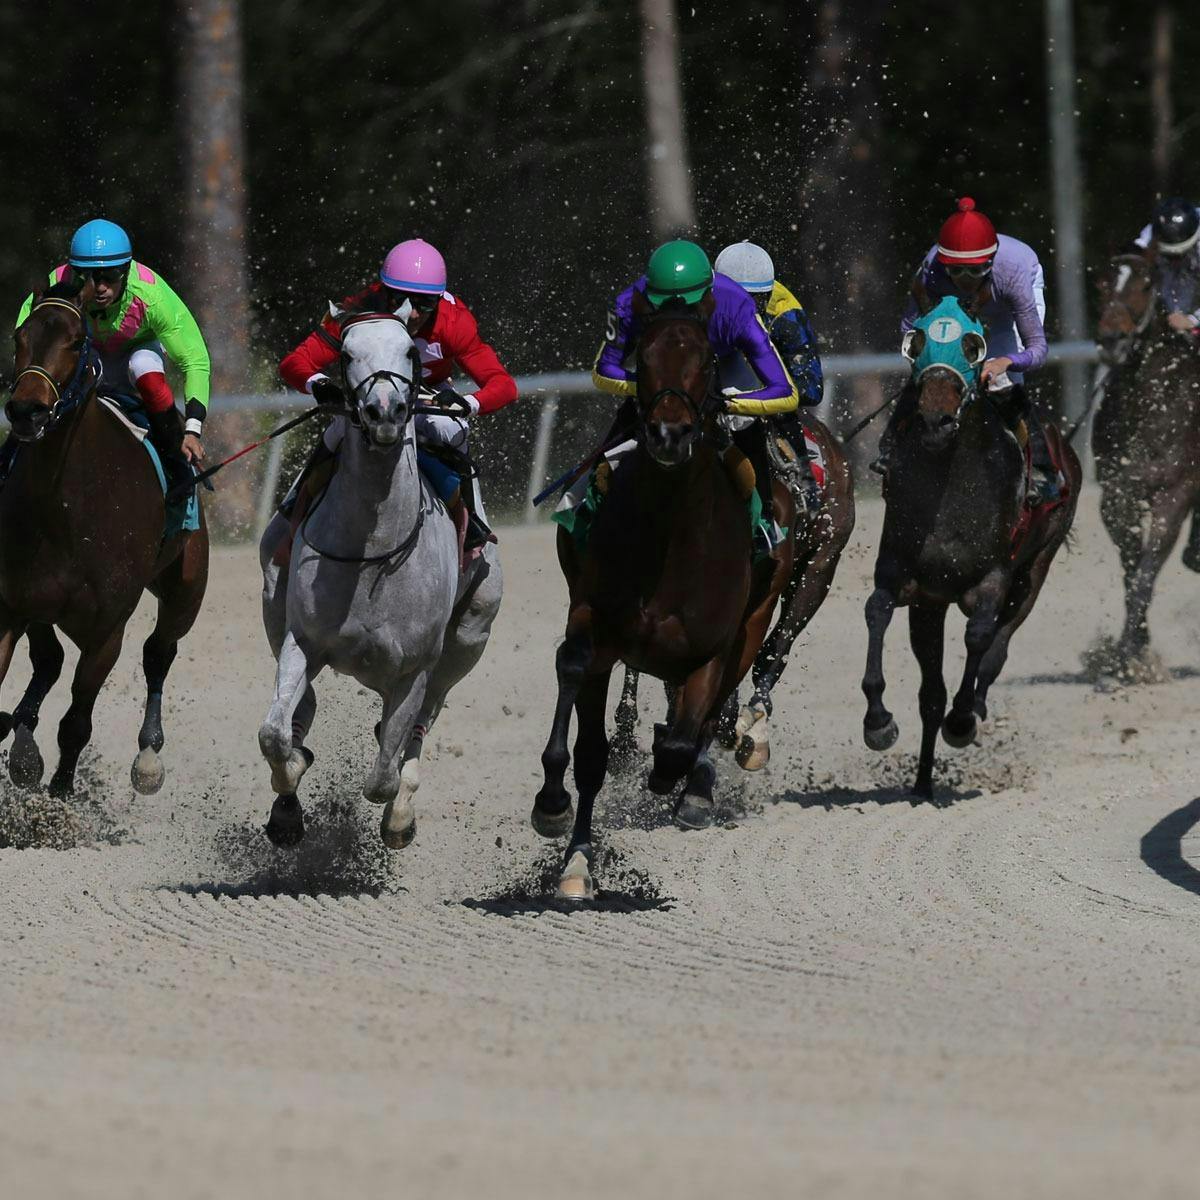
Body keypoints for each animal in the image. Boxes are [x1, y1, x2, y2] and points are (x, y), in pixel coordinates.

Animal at [0, 280, 207, 796]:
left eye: (76, 342)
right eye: (18, 336)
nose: (26, 410)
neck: (65, 504)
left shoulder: (108, 629)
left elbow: (76, 723)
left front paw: (59, 798)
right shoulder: (11, 606)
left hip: (187, 586)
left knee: (158, 652)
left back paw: (148, 754)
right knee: (49, 660)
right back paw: (24, 745)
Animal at [260, 314, 504, 849]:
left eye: (411, 352)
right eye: (346, 353)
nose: (385, 412)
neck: (372, 549)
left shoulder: (415, 666)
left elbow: (382, 778)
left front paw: (397, 816)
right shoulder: (303, 639)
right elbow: (275, 735)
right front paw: (291, 784)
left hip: (469, 638)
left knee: (422, 722)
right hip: (273, 598)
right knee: (298, 706)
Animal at [532, 295, 796, 902]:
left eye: (708, 360)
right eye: (642, 358)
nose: (669, 434)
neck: (671, 535)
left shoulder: (714, 646)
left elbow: (683, 739)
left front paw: (673, 775)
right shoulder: (596, 625)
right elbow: (586, 741)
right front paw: (563, 831)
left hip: (758, 616)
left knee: (711, 715)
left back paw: (690, 784)